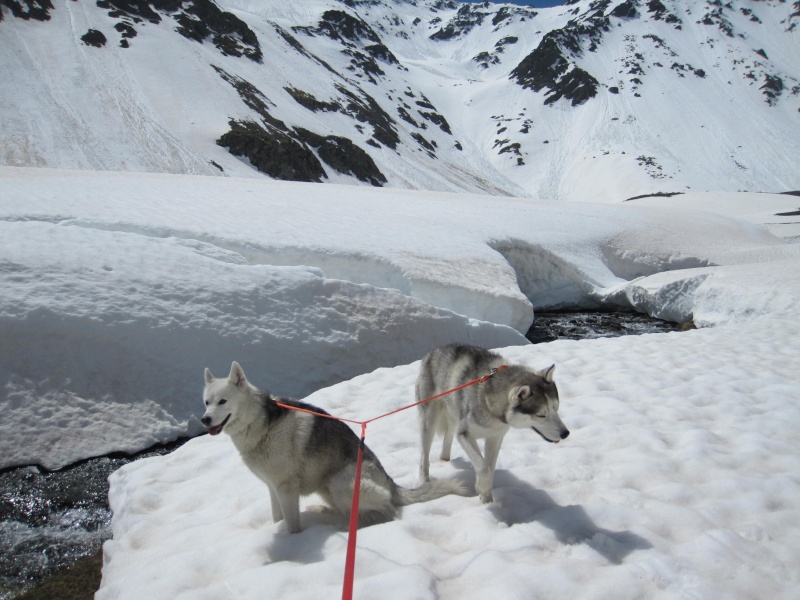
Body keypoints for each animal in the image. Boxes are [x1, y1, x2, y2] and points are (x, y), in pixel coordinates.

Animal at [200, 364, 466, 532]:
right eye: (206, 402)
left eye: (222, 401)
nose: (205, 420)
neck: (261, 424)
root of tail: (391, 483)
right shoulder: (272, 486)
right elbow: (277, 518)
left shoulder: (286, 487)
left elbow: (292, 526)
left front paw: (293, 544)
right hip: (326, 487)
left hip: (342, 483)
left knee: (385, 506)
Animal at [416, 344, 564, 504]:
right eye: (541, 415)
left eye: (556, 408)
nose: (565, 433)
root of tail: (433, 352)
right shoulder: (464, 434)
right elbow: (483, 467)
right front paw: (481, 488)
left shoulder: (495, 437)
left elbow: (490, 467)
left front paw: (486, 500)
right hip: (430, 420)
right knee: (424, 457)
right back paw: (424, 483)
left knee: (448, 436)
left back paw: (445, 458)